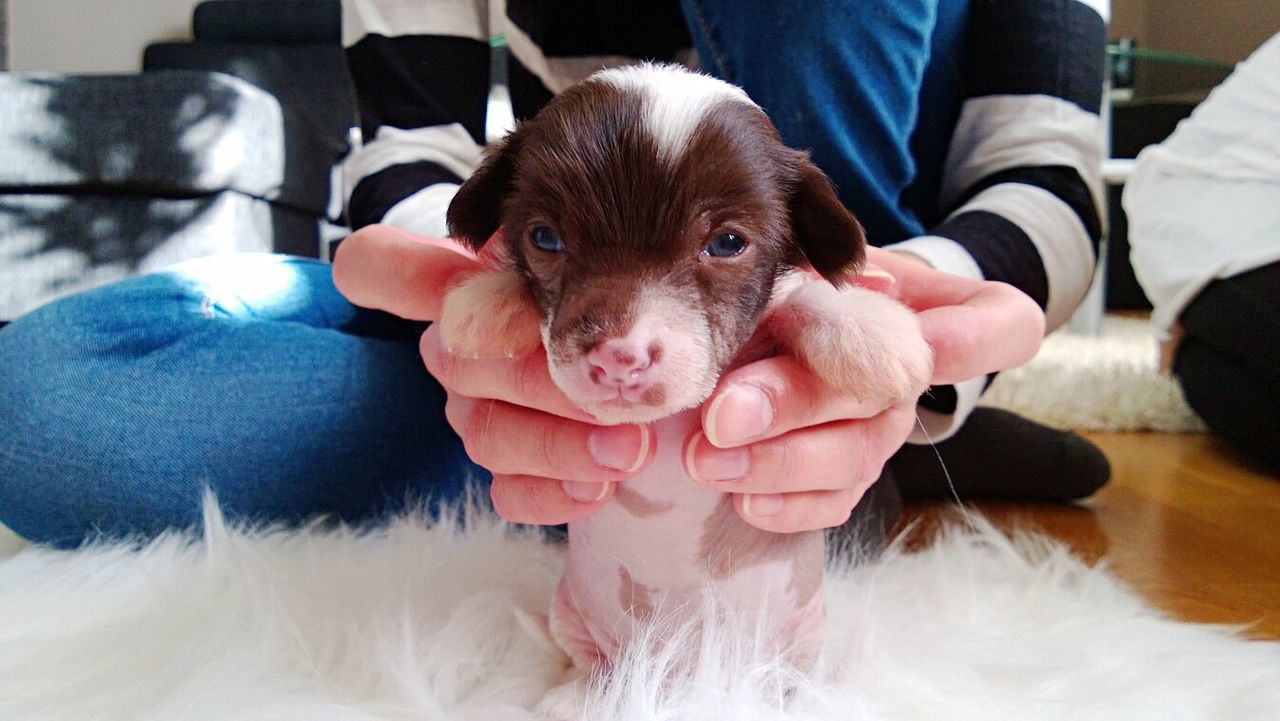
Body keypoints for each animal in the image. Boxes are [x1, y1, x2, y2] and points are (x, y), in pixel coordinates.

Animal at [440, 64, 931, 681]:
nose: (619, 356)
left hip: (794, 645)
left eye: (726, 243)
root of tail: (683, 678)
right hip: (581, 627)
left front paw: (873, 329)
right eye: (544, 237)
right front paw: (481, 302)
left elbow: (803, 294)